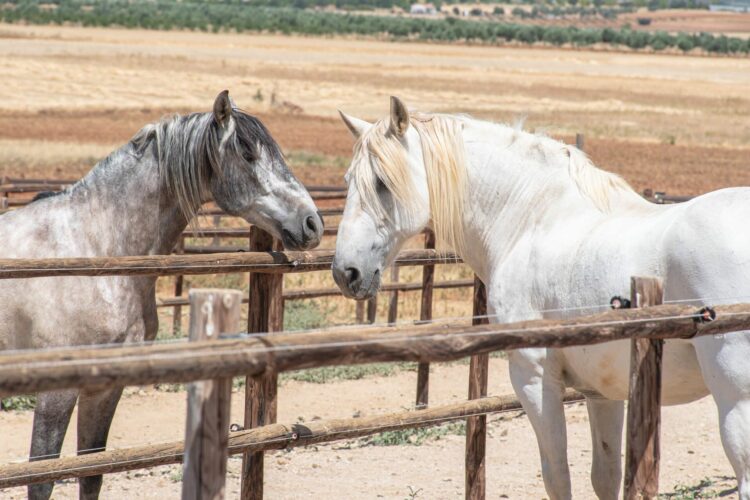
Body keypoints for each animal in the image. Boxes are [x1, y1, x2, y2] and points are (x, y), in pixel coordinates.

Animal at [332, 95, 750, 498]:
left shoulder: (535, 378)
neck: (534, 219)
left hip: (736, 402)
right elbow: (605, 477)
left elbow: (557, 476)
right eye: (349, 179)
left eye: (382, 182)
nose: (345, 272)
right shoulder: (603, 391)